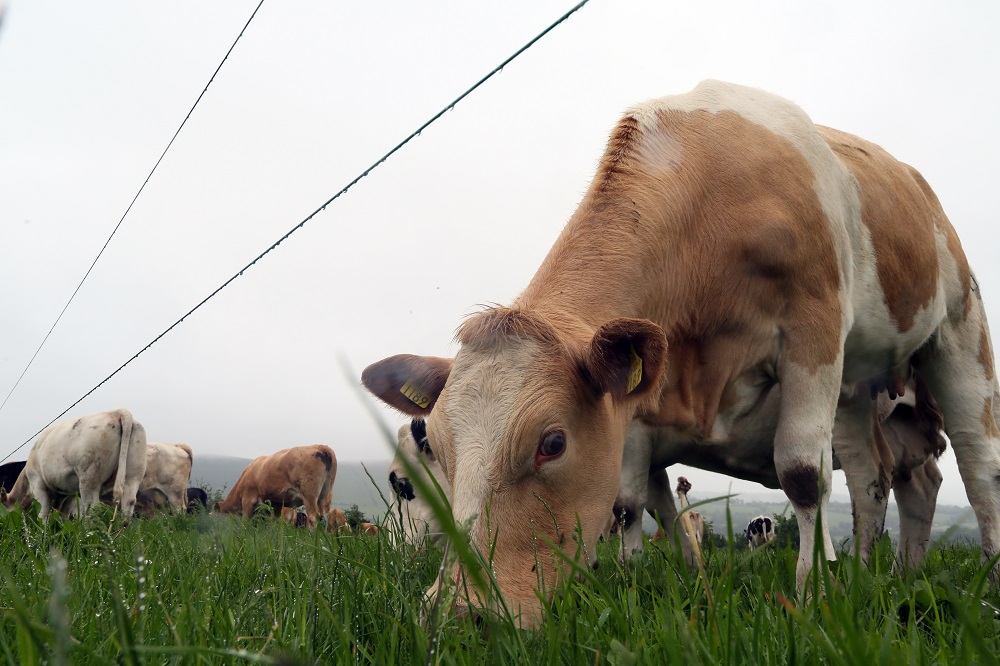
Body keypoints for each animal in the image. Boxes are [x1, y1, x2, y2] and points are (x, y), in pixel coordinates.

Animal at [0, 408, 148, 520]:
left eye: (6, 507)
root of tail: (117, 411)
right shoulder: (69, 494)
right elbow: (62, 515)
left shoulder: (37, 483)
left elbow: (43, 512)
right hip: (133, 475)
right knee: (128, 504)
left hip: (89, 479)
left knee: (92, 508)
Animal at [364, 80, 1000, 624]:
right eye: (442, 448)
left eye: (553, 443)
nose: (456, 617)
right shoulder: (640, 418)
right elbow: (645, 506)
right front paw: (671, 581)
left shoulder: (813, 328)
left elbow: (798, 474)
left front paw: (811, 596)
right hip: (861, 392)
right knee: (884, 481)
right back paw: (882, 574)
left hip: (956, 327)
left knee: (976, 462)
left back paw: (983, 580)